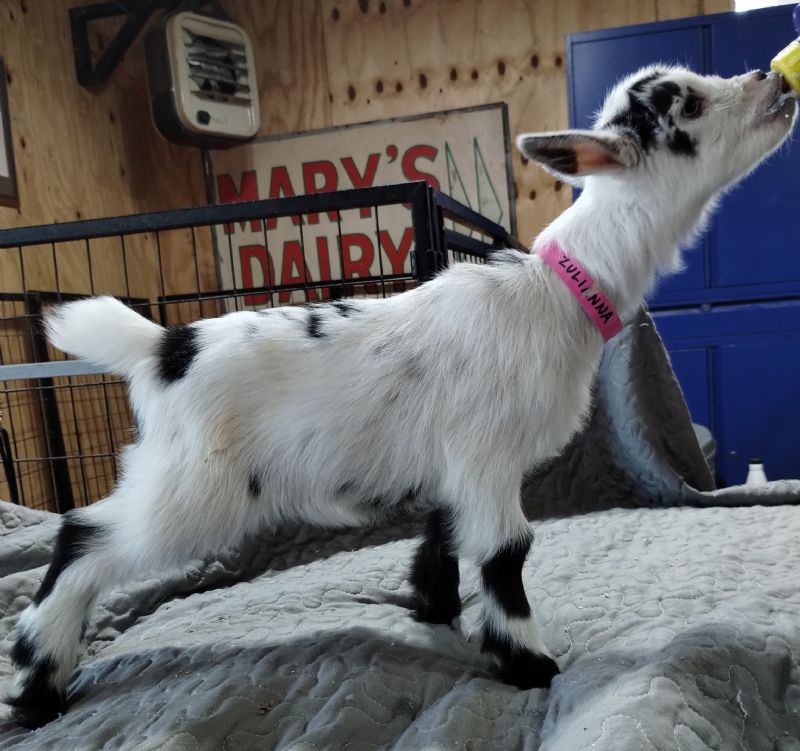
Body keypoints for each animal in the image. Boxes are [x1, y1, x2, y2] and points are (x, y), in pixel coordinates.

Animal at [4, 65, 796, 728]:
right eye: (686, 106)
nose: (774, 81)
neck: (555, 293)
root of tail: (164, 346)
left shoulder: (457, 463)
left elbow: (445, 531)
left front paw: (434, 608)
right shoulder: (487, 455)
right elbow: (507, 550)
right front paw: (529, 662)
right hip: (199, 485)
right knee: (85, 536)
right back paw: (39, 681)